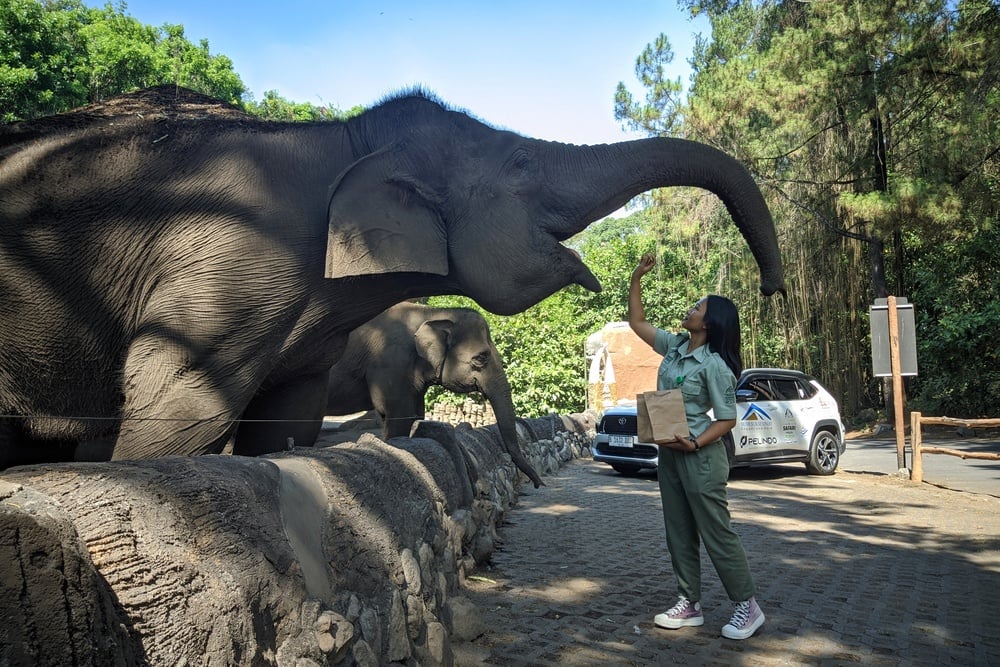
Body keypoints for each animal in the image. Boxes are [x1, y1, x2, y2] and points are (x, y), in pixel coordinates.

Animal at [324, 302, 544, 486]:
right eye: (481, 358)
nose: (538, 484)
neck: (431, 313)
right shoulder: (390, 363)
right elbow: (398, 415)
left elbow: (415, 415)